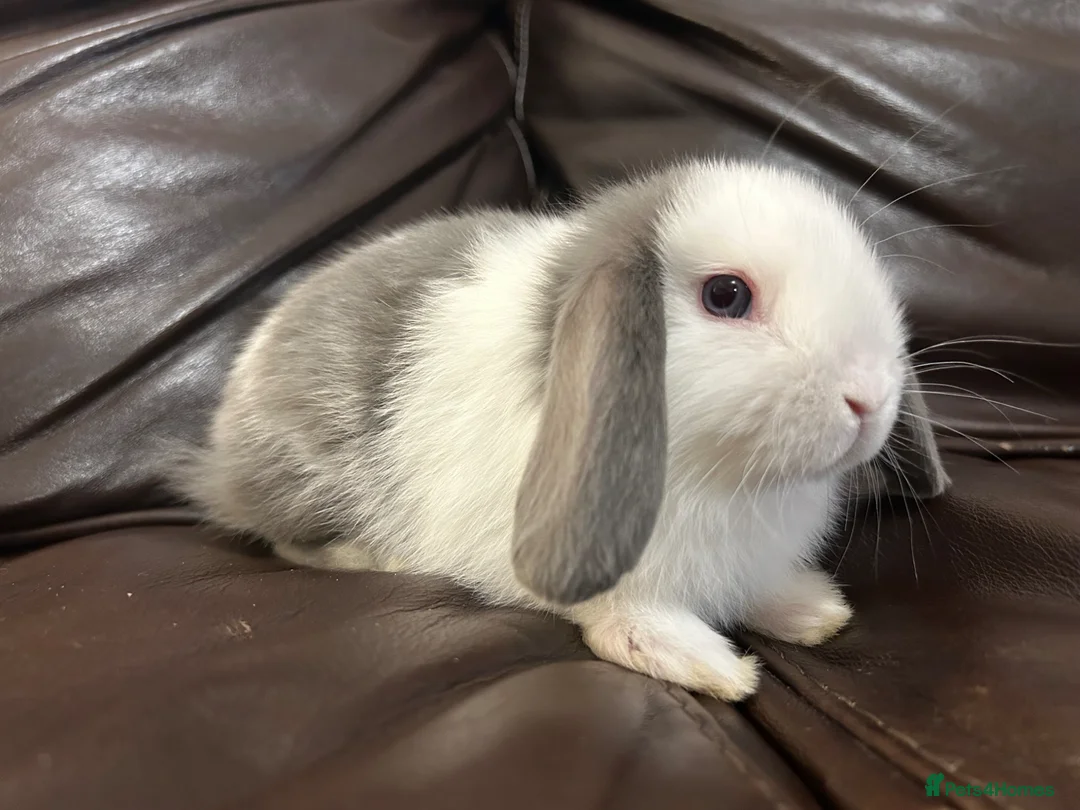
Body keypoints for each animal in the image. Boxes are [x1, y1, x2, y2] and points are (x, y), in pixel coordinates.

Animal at [173, 157, 948, 702]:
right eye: (727, 295)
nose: (870, 399)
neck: (720, 477)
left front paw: (813, 610)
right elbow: (625, 622)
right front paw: (710, 667)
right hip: (301, 483)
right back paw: (373, 558)